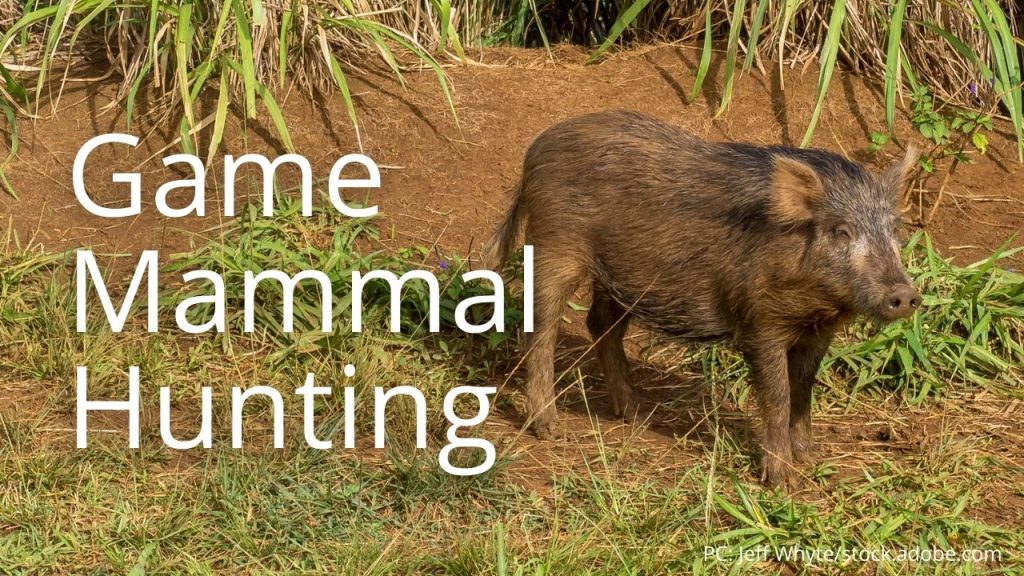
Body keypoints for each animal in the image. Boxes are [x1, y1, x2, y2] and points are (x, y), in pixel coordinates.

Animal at [485, 110, 921, 488]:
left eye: (894, 229)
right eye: (842, 231)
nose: (905, 294)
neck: (818, 304)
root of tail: (538, 147)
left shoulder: (818, 333)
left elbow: (804, 391)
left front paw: (812, 458)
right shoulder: (761, 324)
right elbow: (778, 397)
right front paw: (782, 482)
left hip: (621, 277)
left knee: (600, 323)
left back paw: (635, 411)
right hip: (554, 248)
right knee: (541, 328)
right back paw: (550, 429)